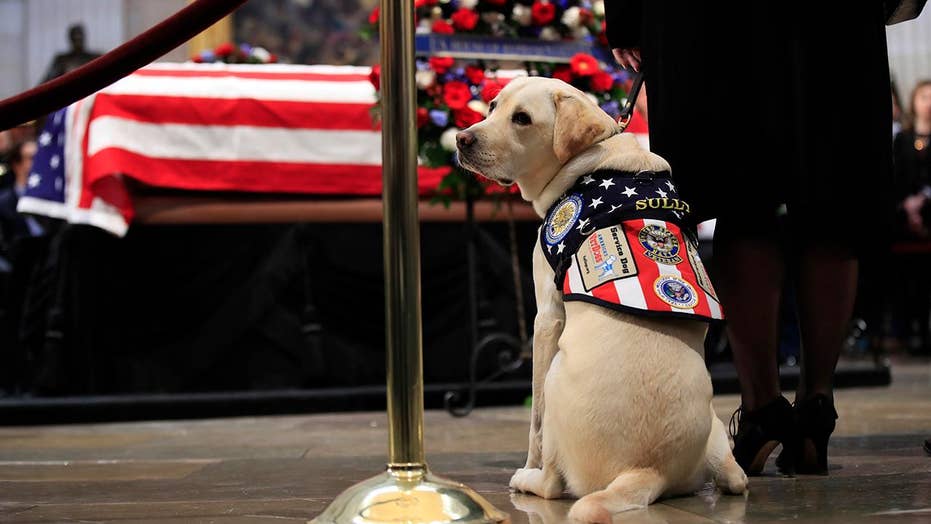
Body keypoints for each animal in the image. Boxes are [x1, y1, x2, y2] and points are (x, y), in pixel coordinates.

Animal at [456, 78, 748, 524]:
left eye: (522, 118)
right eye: (492, 106)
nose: (461, 139)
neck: (592, 160)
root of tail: (647, 469)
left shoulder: (546, 317)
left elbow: (533, 423)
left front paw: (527, 462)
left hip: (556, 374)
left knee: (553, 482)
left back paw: (527, 479)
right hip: (716, 436)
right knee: (737, 477)